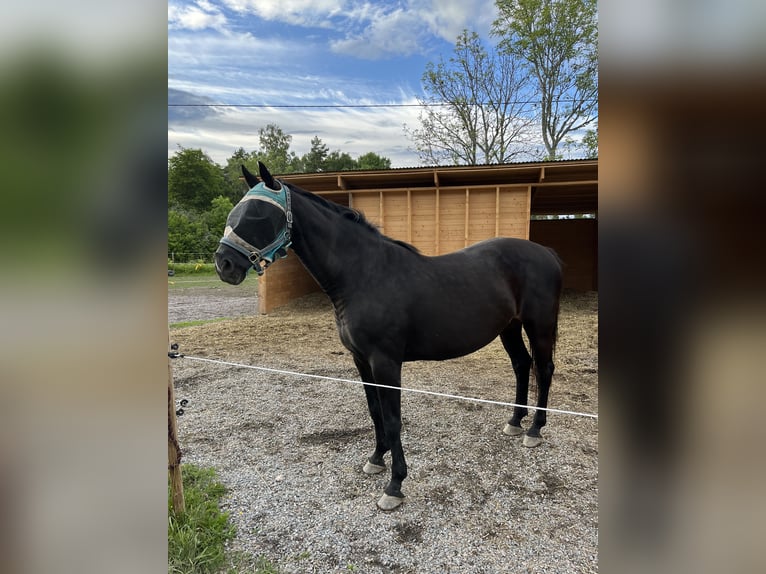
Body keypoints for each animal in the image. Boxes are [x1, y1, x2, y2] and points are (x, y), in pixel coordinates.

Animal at [216, 162, 564, 512]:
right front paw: (375, 459)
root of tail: (547, 253)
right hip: (510, 326)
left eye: (259, 215)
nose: (224, 264)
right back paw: (515, 421)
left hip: (539, 325)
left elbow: (394, 418)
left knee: (543, 368)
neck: (364, 275)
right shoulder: (361, 361)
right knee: (522, 365)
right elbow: (375, 412)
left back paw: (534, 430)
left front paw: (395, 485)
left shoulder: (386, 363)